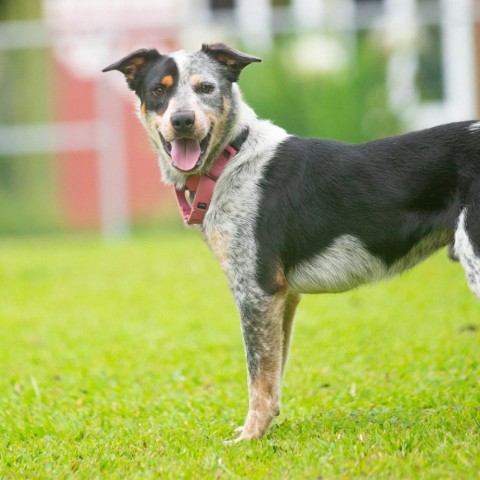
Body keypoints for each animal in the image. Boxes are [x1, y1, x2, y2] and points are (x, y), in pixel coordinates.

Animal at [102, 43, 480, 440]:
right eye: (158, 91)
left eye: (206, 88)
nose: (183, 121)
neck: (230, 160)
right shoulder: (284, 298)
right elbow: (274, 376)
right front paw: (261, 431)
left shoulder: (257, 291)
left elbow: (258, 378)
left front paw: (249, 439)